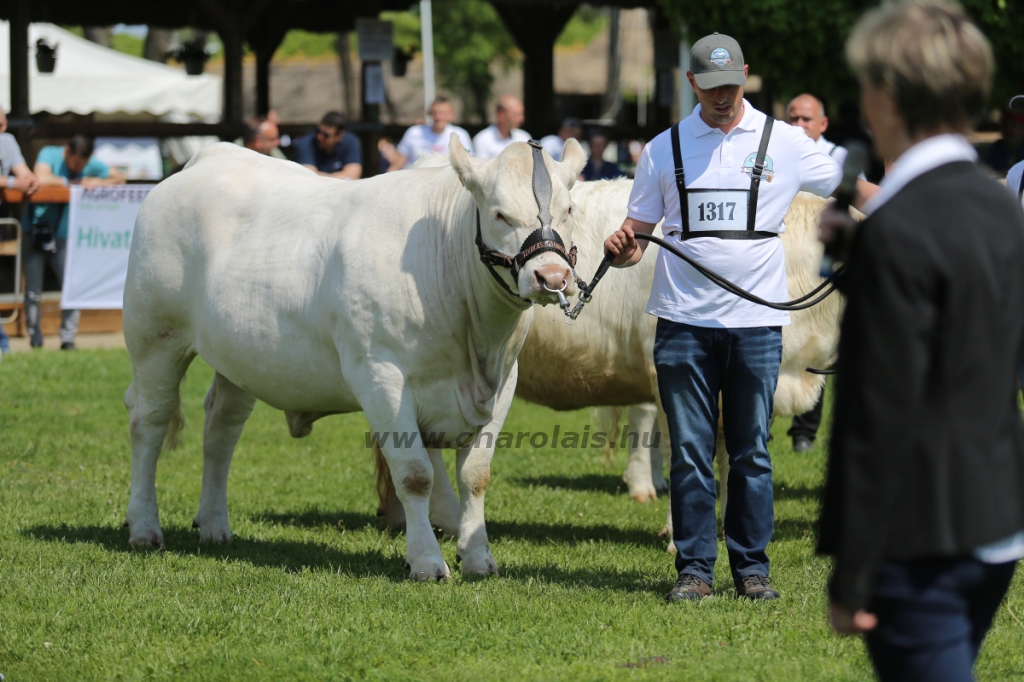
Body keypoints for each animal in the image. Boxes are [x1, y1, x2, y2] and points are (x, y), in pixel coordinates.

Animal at [121, 138, 585, 577]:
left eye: (569, 209)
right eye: (500, 214)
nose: (552, 276)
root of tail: (211, 156)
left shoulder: (504, 380)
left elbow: (476, 476)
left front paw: (478, 558)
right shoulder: (380, 375)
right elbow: (415, 474)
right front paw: (425, 562)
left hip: (238, 359)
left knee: (221, 430)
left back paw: (215, 524)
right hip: (154, 336)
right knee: (149, 425)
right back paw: (144, 527)